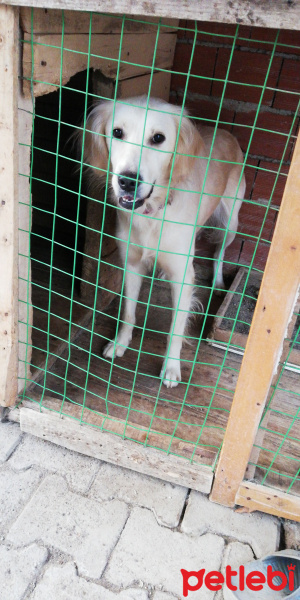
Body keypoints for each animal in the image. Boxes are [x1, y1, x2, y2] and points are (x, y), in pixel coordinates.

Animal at [81, 96, 244, 386]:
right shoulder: (132, 265)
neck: (152, 214)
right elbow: (128, 312)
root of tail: (227, 132)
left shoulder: (183, 277)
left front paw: (171, 366)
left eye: (158, 138)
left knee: (219, 253)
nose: (127, 181)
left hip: (231, 223)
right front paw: (121, 342)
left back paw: (217, 281)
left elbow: (176, 328)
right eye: (117, 133)